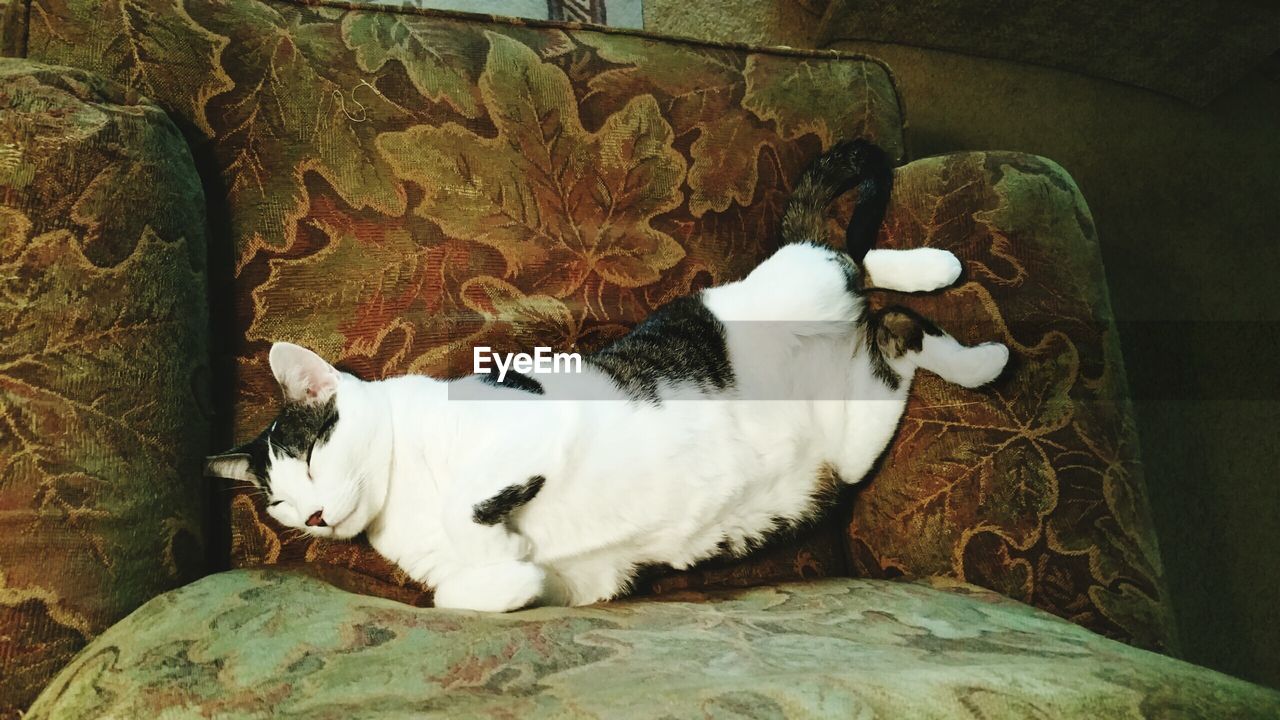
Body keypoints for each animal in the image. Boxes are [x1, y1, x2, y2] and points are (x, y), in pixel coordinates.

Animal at [207, 140, 1008, 609]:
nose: (312, 517)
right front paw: (512, 569)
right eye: (278, 503)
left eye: (313, 455)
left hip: (800, 294)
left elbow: (467, 504)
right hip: (855, 436)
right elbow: (463, 595)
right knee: (892, 329)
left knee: (849, 262)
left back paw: (945, 278)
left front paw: (496, 541)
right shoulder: (572, 585)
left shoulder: (525, 423)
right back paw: (980, 357)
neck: (400, 494)